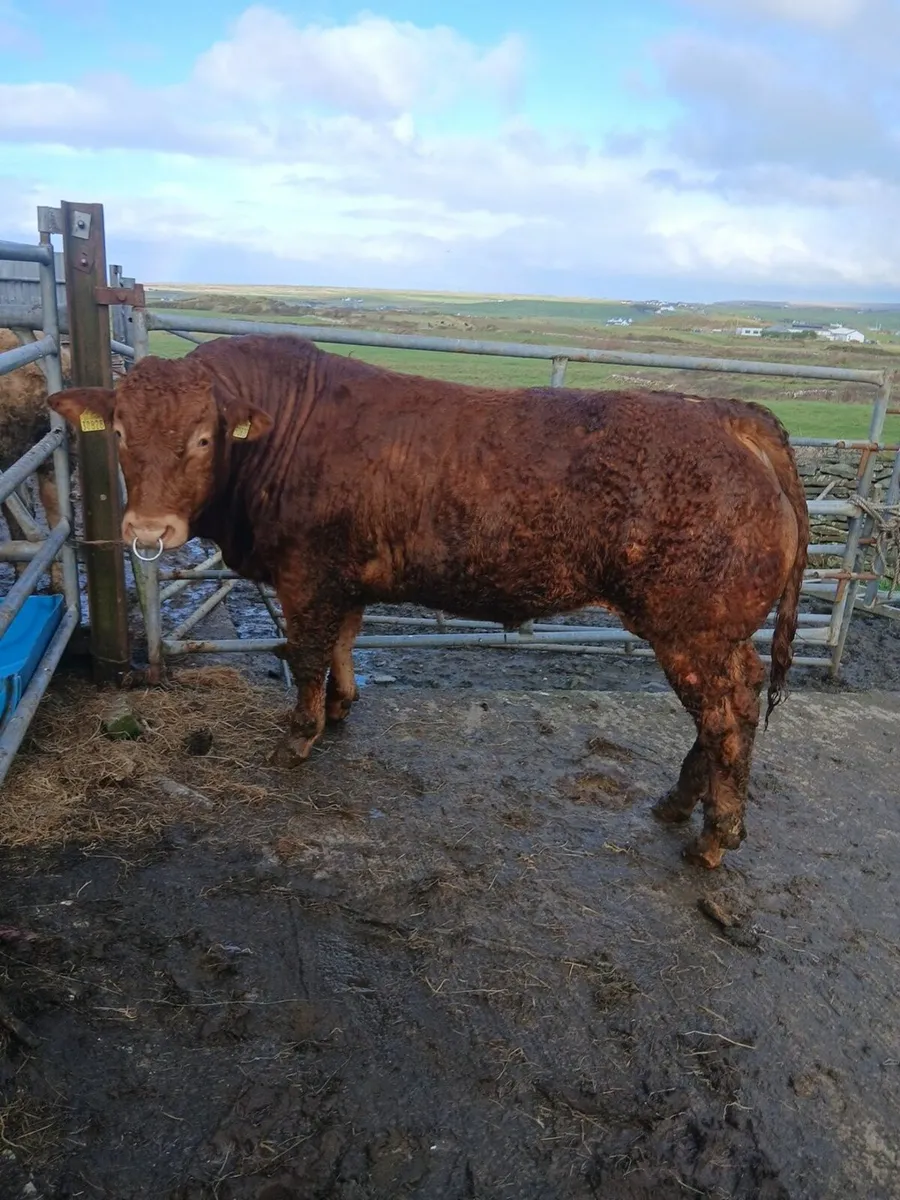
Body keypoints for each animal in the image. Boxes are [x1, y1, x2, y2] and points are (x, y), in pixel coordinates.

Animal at [48, 333, 809, 869]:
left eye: (204, 438)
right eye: (120, 433)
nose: (150, 531)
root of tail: (722, 411)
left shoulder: (308, 577)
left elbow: (307, 653)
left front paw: (299, 735)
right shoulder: (344, 577)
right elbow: (344, 641)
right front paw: (341, 708)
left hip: (691, 628)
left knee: (729, 715)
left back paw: (715, 833)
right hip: (710, 633)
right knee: (726, 708)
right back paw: (679, 803)